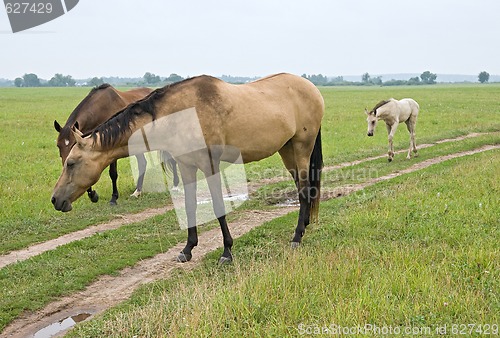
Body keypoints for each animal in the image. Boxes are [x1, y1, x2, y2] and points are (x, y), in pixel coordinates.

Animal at [50, 73, 324, 264]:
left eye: (71, 163)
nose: (55, 200)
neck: (180, 114)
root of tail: (312, 88)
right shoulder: (186, 166)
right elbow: (190, 205)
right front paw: (188, 249)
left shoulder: (209, 165)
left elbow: (218, 207)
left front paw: (226, 251)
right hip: (287, 151)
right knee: (303, 189)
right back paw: (305, 225)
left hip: (302, 149)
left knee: (303, 190)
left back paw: (297, 237)